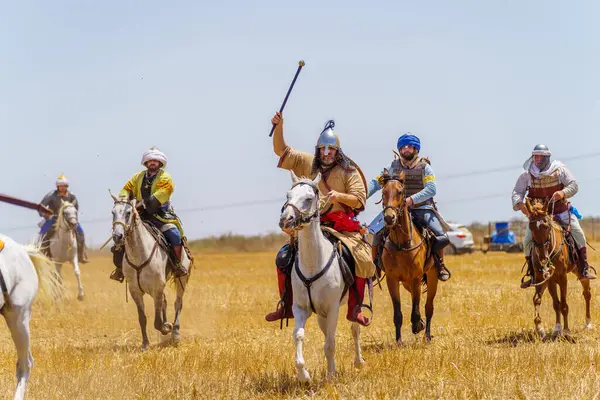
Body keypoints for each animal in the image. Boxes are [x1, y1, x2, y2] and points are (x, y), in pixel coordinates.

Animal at [109, 194, 191, 350]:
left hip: (182, 279)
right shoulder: (135, 291)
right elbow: (142, 318)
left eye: (128, 213)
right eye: (113, 213)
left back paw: (175, 334)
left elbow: (158, 322)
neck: (140, 254)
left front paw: (167, 327)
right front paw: (145, 344)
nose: (117, 236)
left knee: (178, 303)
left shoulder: (157, 288)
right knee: (166, 302)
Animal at [278, 172, 364, 382]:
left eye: (309, 198)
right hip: (321, 314)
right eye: (288, 195)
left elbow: (331, 343)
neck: (312, 263)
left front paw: (331, 377)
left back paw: (359, 362)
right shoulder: (300, 308)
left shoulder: (333, 308)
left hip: (351, 303)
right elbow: (299, 335)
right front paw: (304, 376)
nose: (286, 221)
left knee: (355, 328)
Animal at [382, 170, 438, 344]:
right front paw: (398, 341)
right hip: (407, 283)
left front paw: (417, 325)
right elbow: (398, 313)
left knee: (428, 307)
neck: (402, 245)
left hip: (432, 277)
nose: (389, 217)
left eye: (400, 192)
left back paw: (427, 335)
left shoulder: (416, 278)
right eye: (383, 192)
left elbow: (416, 308)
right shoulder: (392, 280)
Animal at [524, 198, 592, 340]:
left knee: (587, 293)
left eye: (546, 226)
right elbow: (551, 303)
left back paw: (588, 323)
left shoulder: (562, 278)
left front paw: (566, 331)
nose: (543, 257)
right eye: (531, 227)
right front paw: (548, 329)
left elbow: (564, 304)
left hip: (580, 273)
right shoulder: (547, 279)